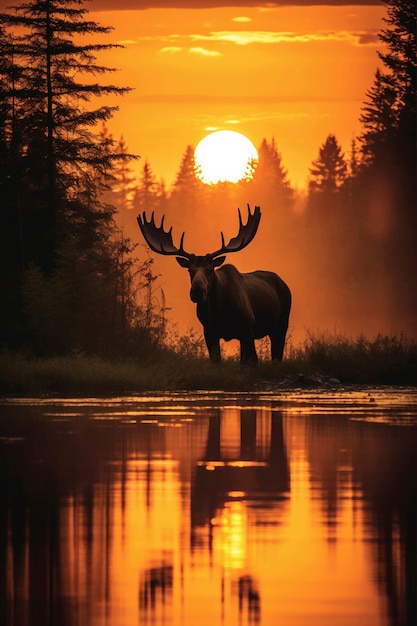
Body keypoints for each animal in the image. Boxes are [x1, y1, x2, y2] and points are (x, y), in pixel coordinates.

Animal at [136, 205, 290, 360]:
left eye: (210, 269)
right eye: (189, 270)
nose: (197, 291)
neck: (220, 311)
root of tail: (284, 283)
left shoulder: (247, 328)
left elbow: (251, 360)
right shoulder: (209, 331)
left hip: (281, 326)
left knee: (276, 356)